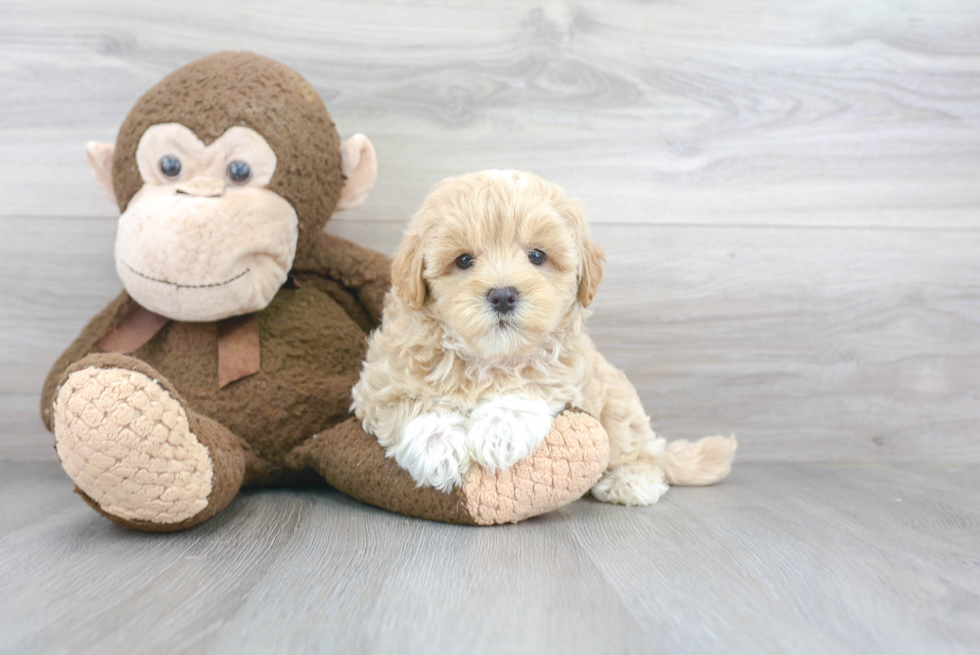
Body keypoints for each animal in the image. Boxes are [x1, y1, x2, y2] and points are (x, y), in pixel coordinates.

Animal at [352, 169, 736, 502]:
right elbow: (409, 403)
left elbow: (530, 384)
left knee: (639, 447)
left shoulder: (568, 369)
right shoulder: (380, 379)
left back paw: (630, 480)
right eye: (463, 260)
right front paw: (439, 446)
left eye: (537, 255)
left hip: (617, 401)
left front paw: (499, 429)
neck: (489, 360)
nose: (503, 295)